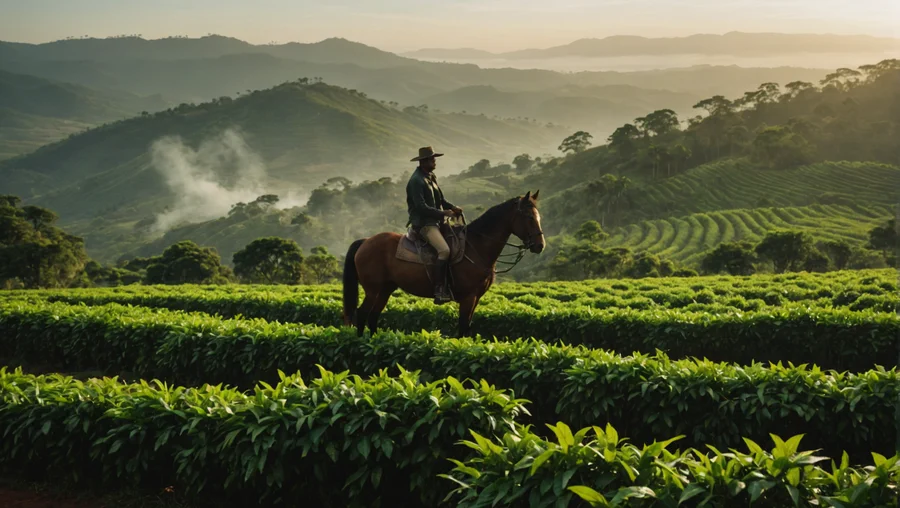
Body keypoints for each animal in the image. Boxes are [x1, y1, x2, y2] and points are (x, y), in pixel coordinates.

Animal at [342, 190, 544, 338]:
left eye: (538, 216)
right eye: (529, 217)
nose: (540, 245)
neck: (476, 246)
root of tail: (365, 241)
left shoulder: (477, 297)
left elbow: (468, 327)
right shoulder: (469, 297)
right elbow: (463, 326)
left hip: (385, 289)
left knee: (373, 316)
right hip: (373, 289)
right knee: (362, 314)